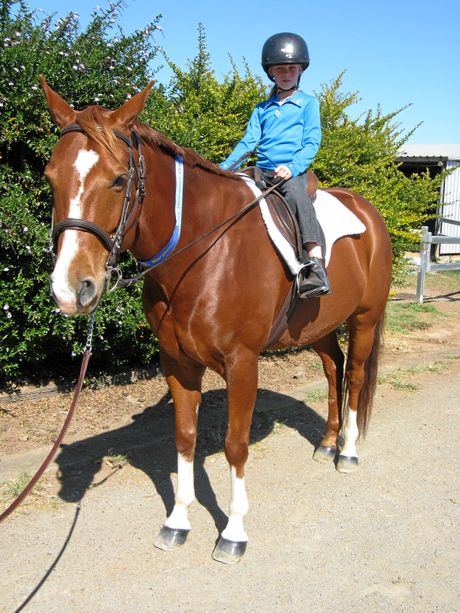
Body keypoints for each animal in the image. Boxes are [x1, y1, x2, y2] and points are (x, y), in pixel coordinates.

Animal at [39, 77, 392, 564]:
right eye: (50, 176)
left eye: (118, 179)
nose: (70, 289)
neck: (205, 252)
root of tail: (367, 211)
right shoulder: (178, 363)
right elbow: (185, 438)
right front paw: (177, 522)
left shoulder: (241, 364)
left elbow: (234, 445)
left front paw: (233, 532)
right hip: (317, 327)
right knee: (332, 368)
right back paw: (327, 442)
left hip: (364, 320)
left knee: (354, 376)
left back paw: (348, 452)